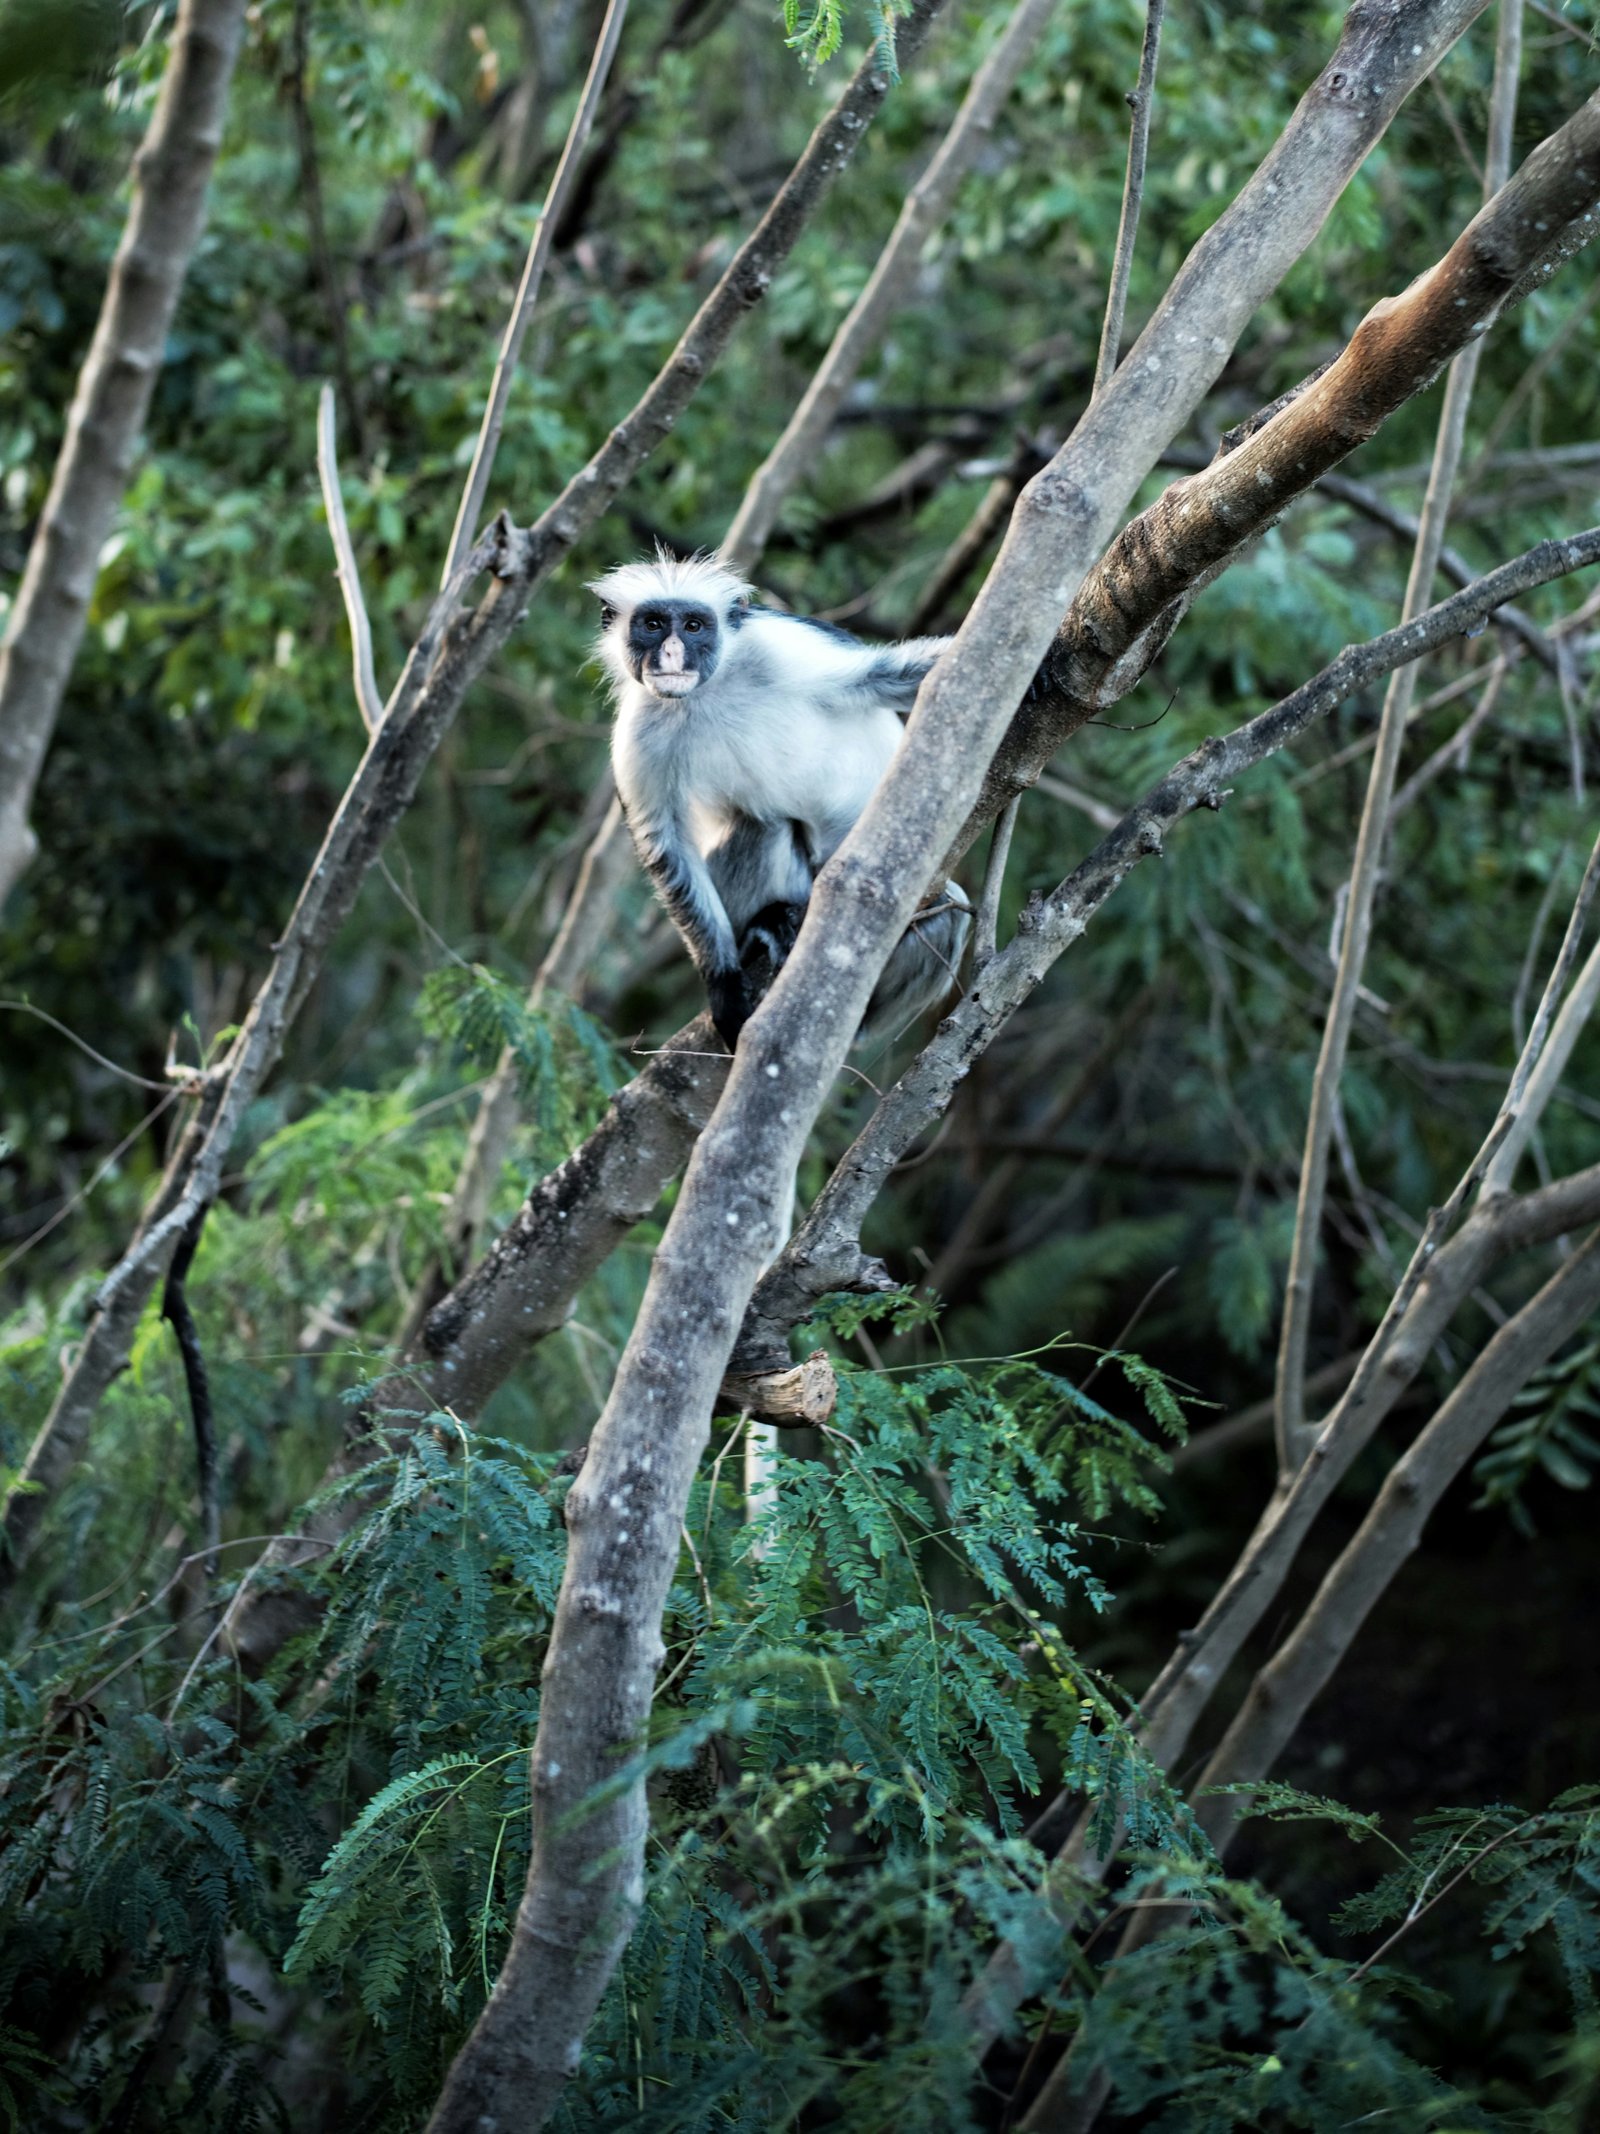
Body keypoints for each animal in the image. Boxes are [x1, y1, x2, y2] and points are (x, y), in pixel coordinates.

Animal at [591, 549, 971, 1052]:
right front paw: (723, 985)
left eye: (693, 626)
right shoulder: (639, 728)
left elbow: (891, 676)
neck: (708, 691)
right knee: (765, 827)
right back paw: (761, 929)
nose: (671, 653)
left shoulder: (782, 645)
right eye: (652, 625)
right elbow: (665, 845)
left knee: (947, 916)